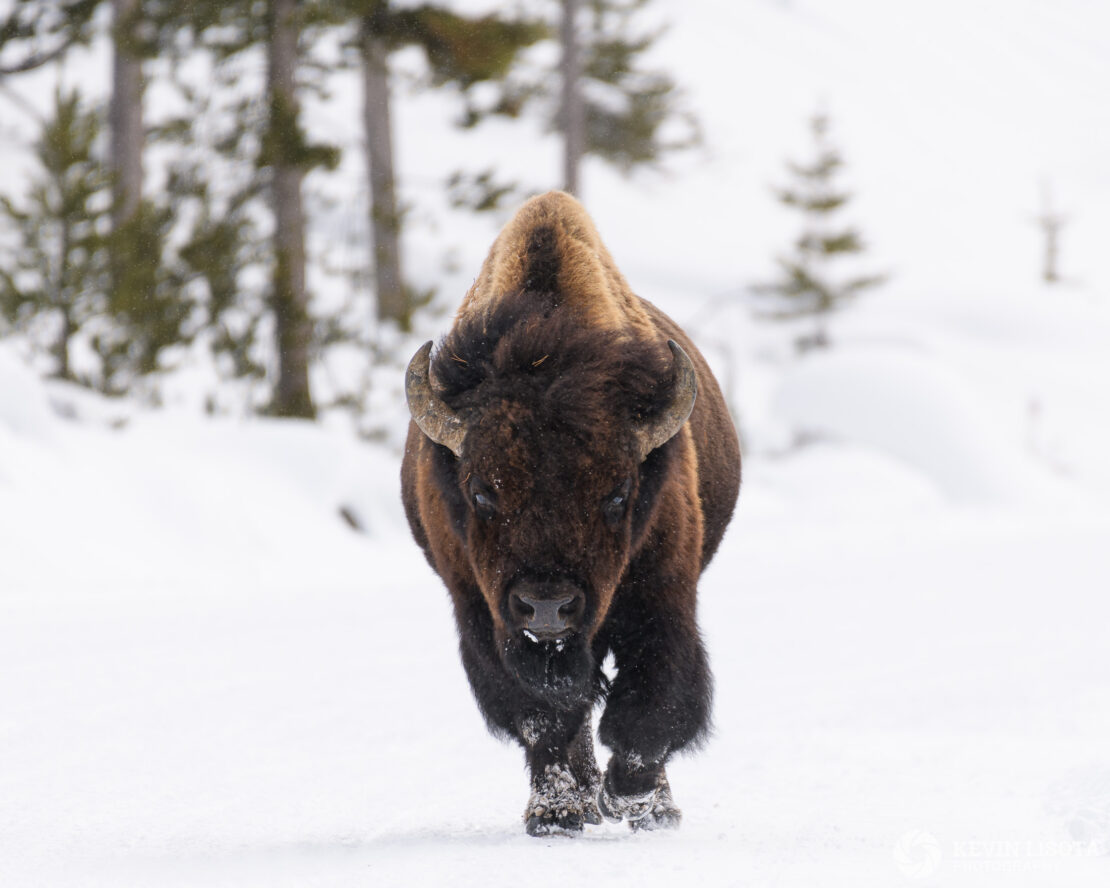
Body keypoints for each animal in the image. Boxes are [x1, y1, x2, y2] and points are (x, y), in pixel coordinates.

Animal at [399, 190, 737, 834]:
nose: (548, 606)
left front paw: (632, 796)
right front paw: (557, 812)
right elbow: (543, 714)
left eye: (618, 493)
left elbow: (652, 701)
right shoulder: (482, 613)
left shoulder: (663, 596)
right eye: (482, 493)